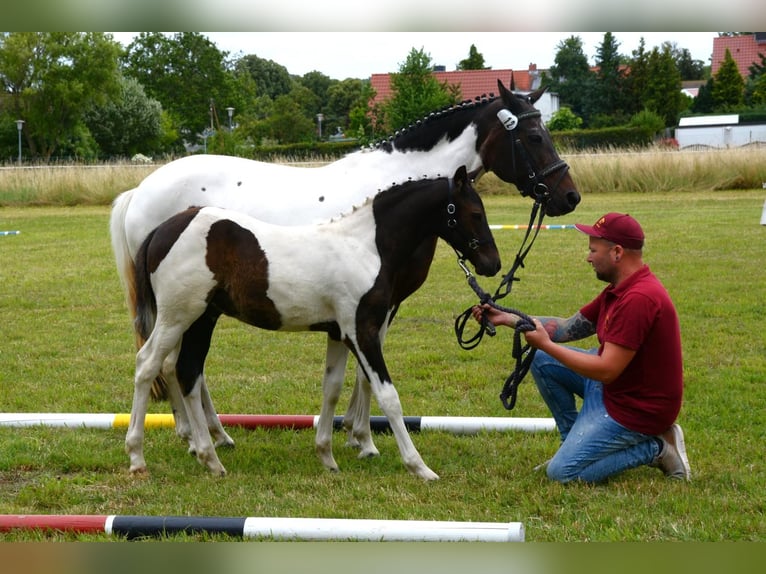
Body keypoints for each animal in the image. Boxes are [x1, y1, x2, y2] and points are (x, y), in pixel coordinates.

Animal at [129, 168, 500, 482]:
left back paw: (210, 457)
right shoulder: (362, 332)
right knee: (149, 365)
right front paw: (419, 467)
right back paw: (138, 458)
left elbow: (331, 388)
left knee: (187, 372)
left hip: (201, 320)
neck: (364, 247)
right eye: (474, 213)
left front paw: (327, 456)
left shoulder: (338, 333)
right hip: (178, 317)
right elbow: (387, 395)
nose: (492, 264)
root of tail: (162, 231)